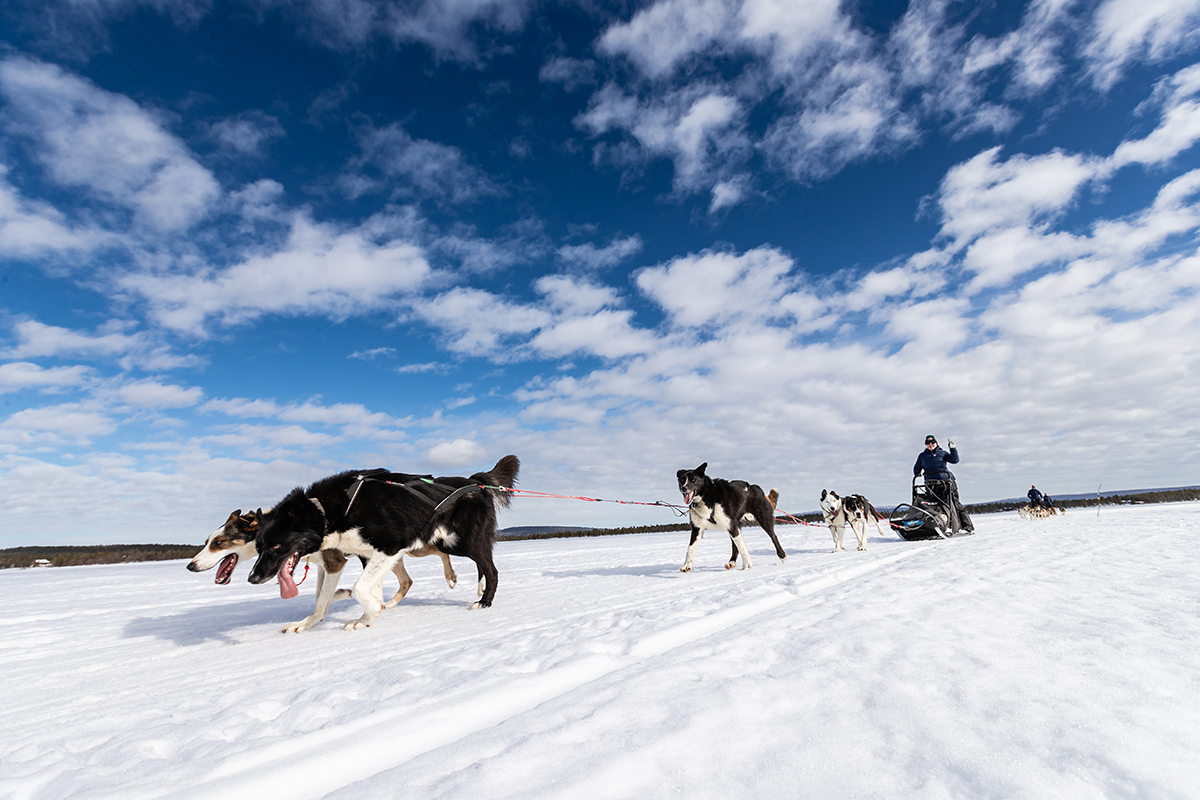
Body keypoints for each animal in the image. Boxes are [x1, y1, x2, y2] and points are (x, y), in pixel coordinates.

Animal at [248, 455, 516, 633]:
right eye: (258, 548)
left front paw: (374, 610)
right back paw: (476, 588)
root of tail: (476, 482)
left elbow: (359, 589)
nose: (252, 578)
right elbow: (338, 595)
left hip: (462, 541)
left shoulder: (388, 548)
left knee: (491, 568)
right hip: (446, 543)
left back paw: (483, 601)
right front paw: (361, 619)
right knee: (478, 564)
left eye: (275, 546)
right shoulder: (367, 555)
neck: (329, 512)